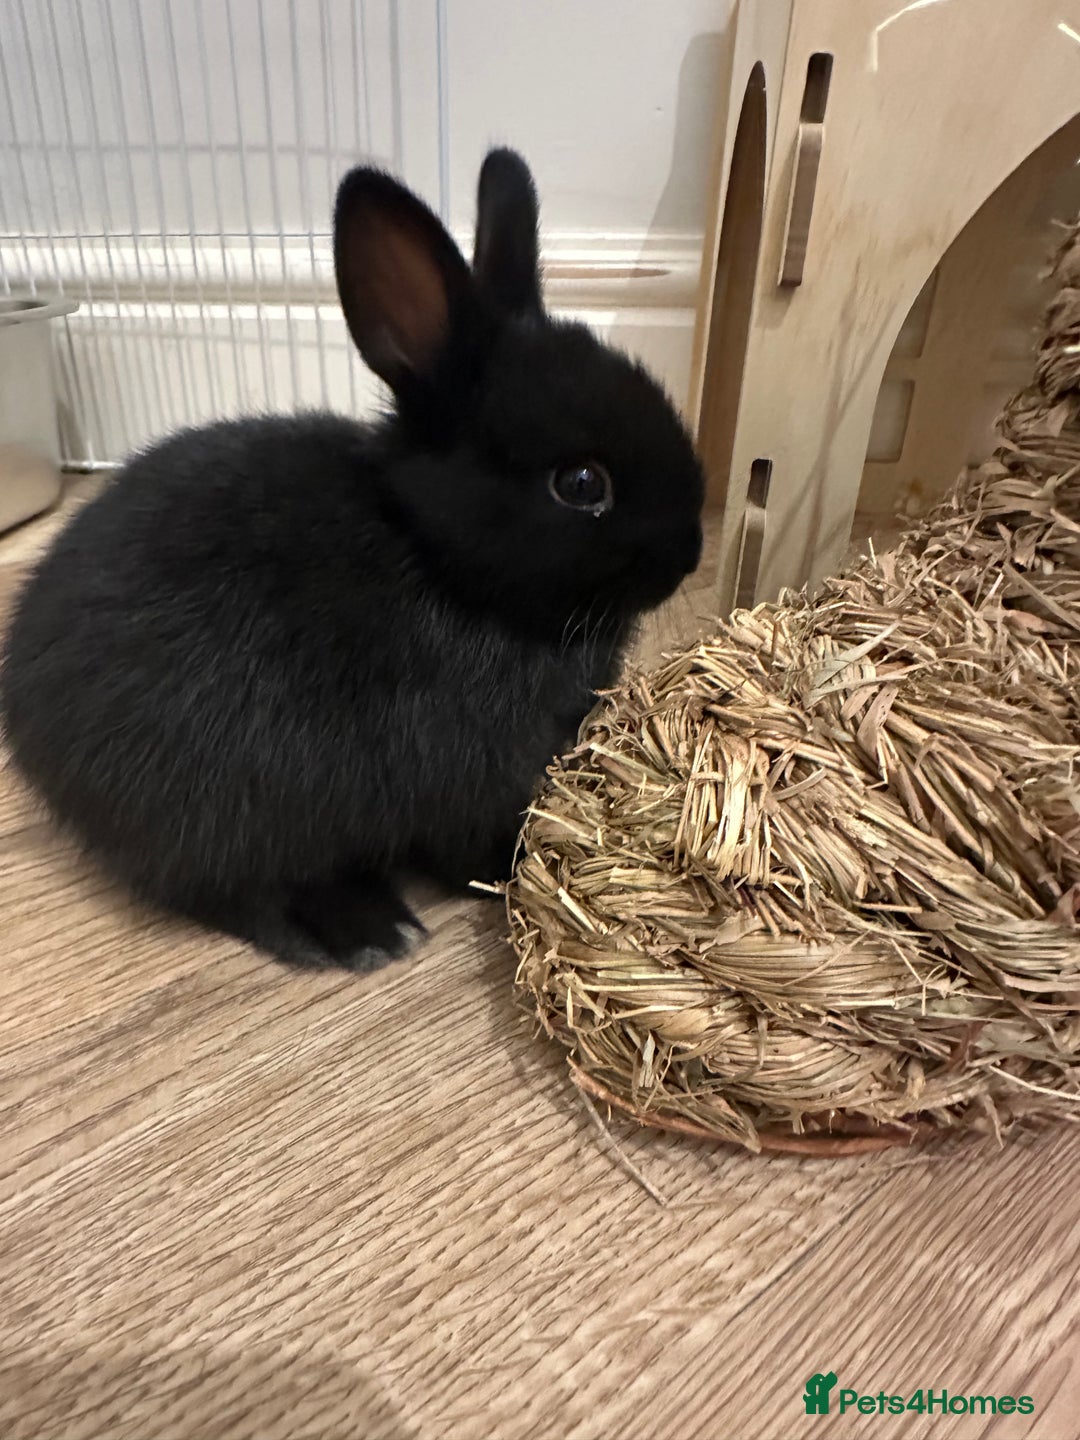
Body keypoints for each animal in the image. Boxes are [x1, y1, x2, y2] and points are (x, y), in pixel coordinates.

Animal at [0, 148, 704, 971]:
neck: (440, 563)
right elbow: (465, 837)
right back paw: (368, 929)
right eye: (583, 484)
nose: (690, 554)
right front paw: (507, 867)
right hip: (229, 804)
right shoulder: (460, 775)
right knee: (233, 888)